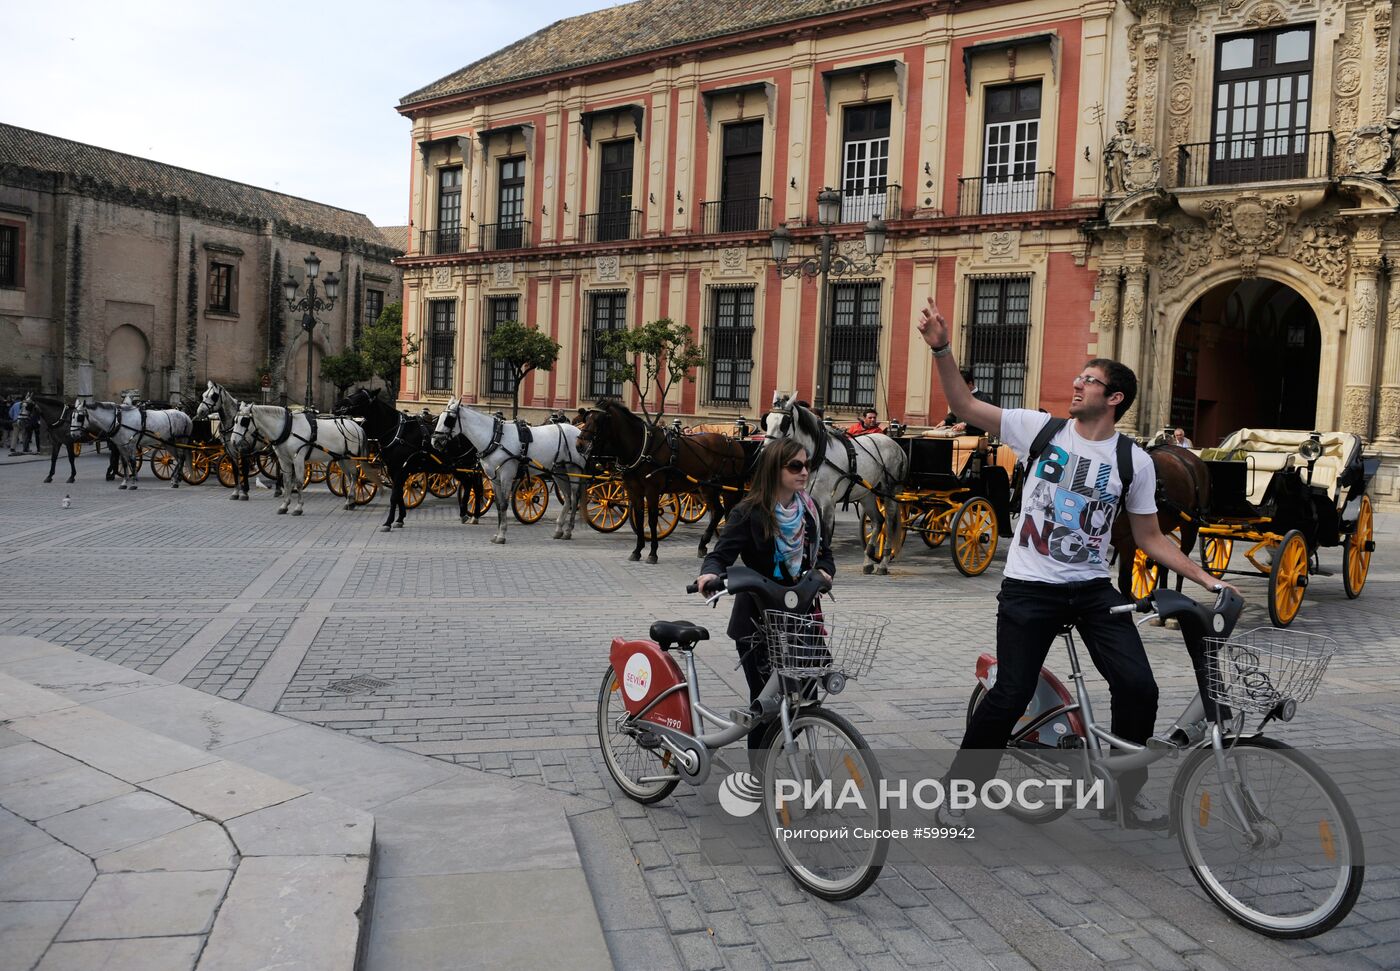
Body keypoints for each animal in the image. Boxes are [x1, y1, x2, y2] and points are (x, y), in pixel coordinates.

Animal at [226, 402, 366, 517]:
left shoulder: (298, 459)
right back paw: (350, 501)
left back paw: (351, 500)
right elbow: (287, 482)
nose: (233, 441)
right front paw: (284, 506)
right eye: (235, 420)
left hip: (351, 458)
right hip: (341, 459)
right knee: (350, 478)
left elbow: (298, 483)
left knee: (355, 476)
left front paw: (298, 508)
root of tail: (356, 426)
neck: (288, 429)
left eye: (244, 421)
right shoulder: (284, 460)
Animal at [425, 397, 579, 548]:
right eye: (439, 418)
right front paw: (497, 534)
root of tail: (577, 431)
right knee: (567, 498)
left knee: (574, 498)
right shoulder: (494, 478)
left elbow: (504, 504)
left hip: (574, 471)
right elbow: (499, 505)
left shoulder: (506, 476)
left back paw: (568, 530)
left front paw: (502, 535)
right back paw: (559, 529)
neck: (495, 439)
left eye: (449, 419)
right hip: (558, 471)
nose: (435, 442)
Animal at [576, 397, 750, 562]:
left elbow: (653, 519)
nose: (579, 445)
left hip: (728, 487)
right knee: (717, 511)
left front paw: (653, 553)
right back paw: (703, 545)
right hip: (707, 487)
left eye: (598, 420)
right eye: (587, 418)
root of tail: (733, 442)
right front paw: (637, 550)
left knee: (727, 512)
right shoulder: (634, 490)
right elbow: (640, 517)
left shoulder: (652, 490)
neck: (642, 447)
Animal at [767, 397, 907, 579]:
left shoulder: (827, 504)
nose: (767, 450)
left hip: (889, 492)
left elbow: (825, 536)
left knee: (889, 523)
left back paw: (883, 563)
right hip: (867, 494)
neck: (818, 457)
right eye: (766, 421)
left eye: (784, 423)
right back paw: (868, 561)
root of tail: (896, 445)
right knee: (878, 521)